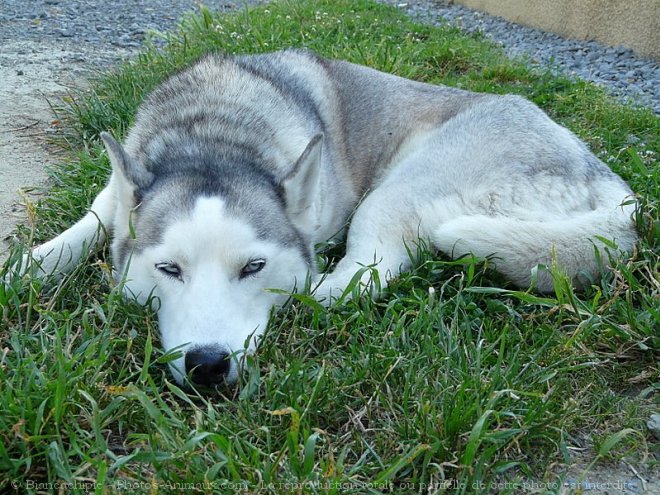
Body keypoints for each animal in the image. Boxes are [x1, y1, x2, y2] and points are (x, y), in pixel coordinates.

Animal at [23, 50, 636, 390]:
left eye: (253, 267)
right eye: (168, 269)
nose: (208, 364)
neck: (214, 135)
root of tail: (608, 179)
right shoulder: (115, 193)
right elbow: (86, 225)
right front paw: (28, 266)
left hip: (395, 192)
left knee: (365, 274)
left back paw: (313, 288)